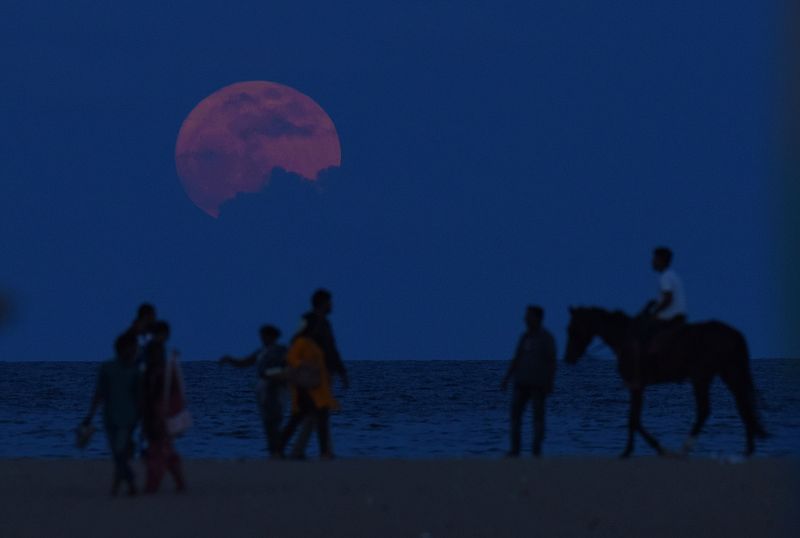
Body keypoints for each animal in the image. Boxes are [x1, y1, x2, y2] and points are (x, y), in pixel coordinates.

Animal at [560, 306, 764, 456]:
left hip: (702, 376)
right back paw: (748, 449)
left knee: (708, 410)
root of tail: (732, 333)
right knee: (742, 402)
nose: (568, 357)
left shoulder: (636, 385)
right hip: (726, 372)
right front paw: (631, 450)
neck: (625, 337)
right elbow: (633, 419)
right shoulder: (637, 387)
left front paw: (649, 449)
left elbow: (634, 420)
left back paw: (684, 450)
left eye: (571, 329)